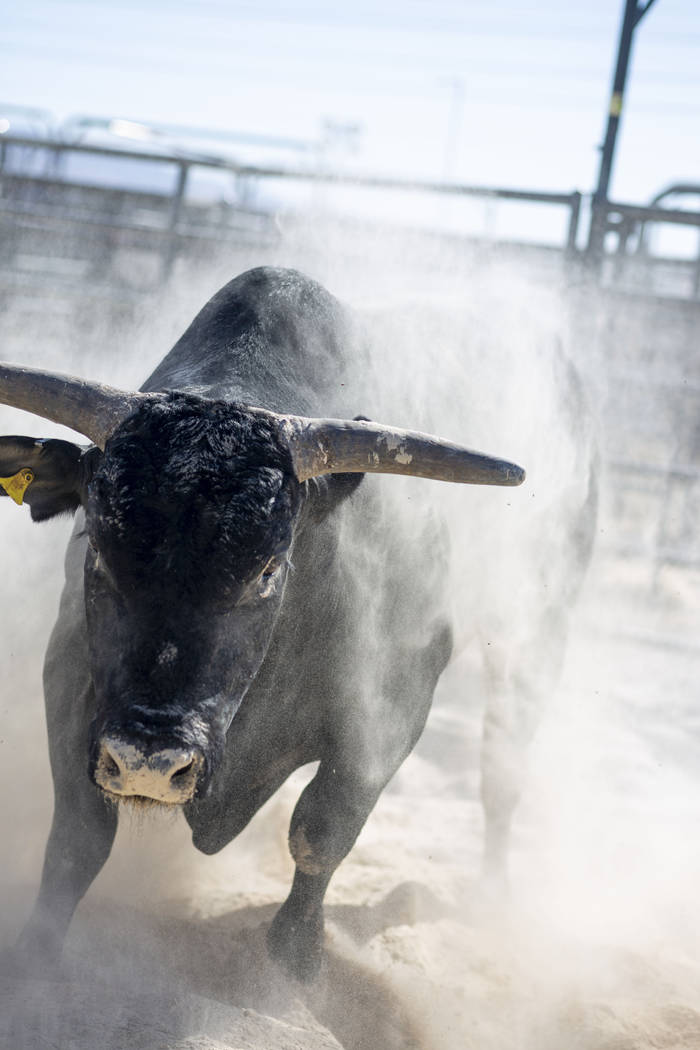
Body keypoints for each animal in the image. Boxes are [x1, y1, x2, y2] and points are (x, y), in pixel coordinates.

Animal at [0, 266, 596, 978]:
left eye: (267, 568)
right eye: (96, 541)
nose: (151, 757)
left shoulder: (395, 705)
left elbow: (322, 829)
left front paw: (295, 957)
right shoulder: (71, 677)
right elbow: (79, 835)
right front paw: (35, 957)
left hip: (535, 640)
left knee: (501, 772)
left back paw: (493, 895)